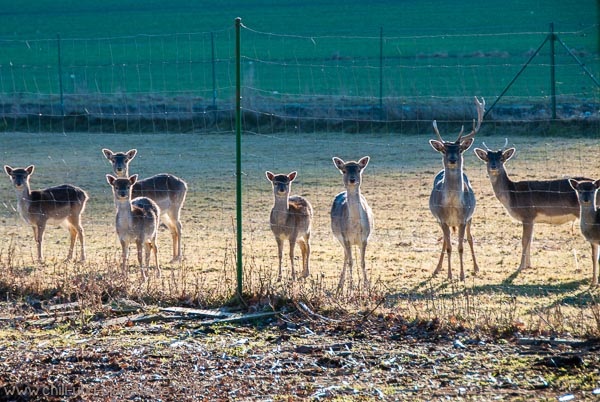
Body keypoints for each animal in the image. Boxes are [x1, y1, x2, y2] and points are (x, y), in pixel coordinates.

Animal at [330, 155, 372, 290]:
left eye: (359, 170)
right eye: (344, 170)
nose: (352, 180)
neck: (354, 227)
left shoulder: (365, 238)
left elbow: (363, 262)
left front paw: (366, 285)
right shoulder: (345, 238)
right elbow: (350, 261)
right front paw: (351, 286)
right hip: (339, 238)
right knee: (346, 256)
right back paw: (340, 284)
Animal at [428, 96, 486, 282]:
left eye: (460, 149)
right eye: (444, 150)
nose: (452, 159)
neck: (453, 206)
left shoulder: (464, 218)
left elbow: (461, 246)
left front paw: (462, 275)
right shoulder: (442, 219)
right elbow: (449, 247)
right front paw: (449, 275)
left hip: (471, 217)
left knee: (470, 238)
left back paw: (476, 267)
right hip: (438, 220)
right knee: (445, 242)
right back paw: (437, 268)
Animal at [474, 141, 592, 270]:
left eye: (501, 158)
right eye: (487, 159)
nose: (493, 166)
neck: (512, 195)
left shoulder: (527, 214)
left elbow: (524, 240)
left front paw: (520, 266)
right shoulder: (532, 219)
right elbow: (530, 240)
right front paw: (529, 264)